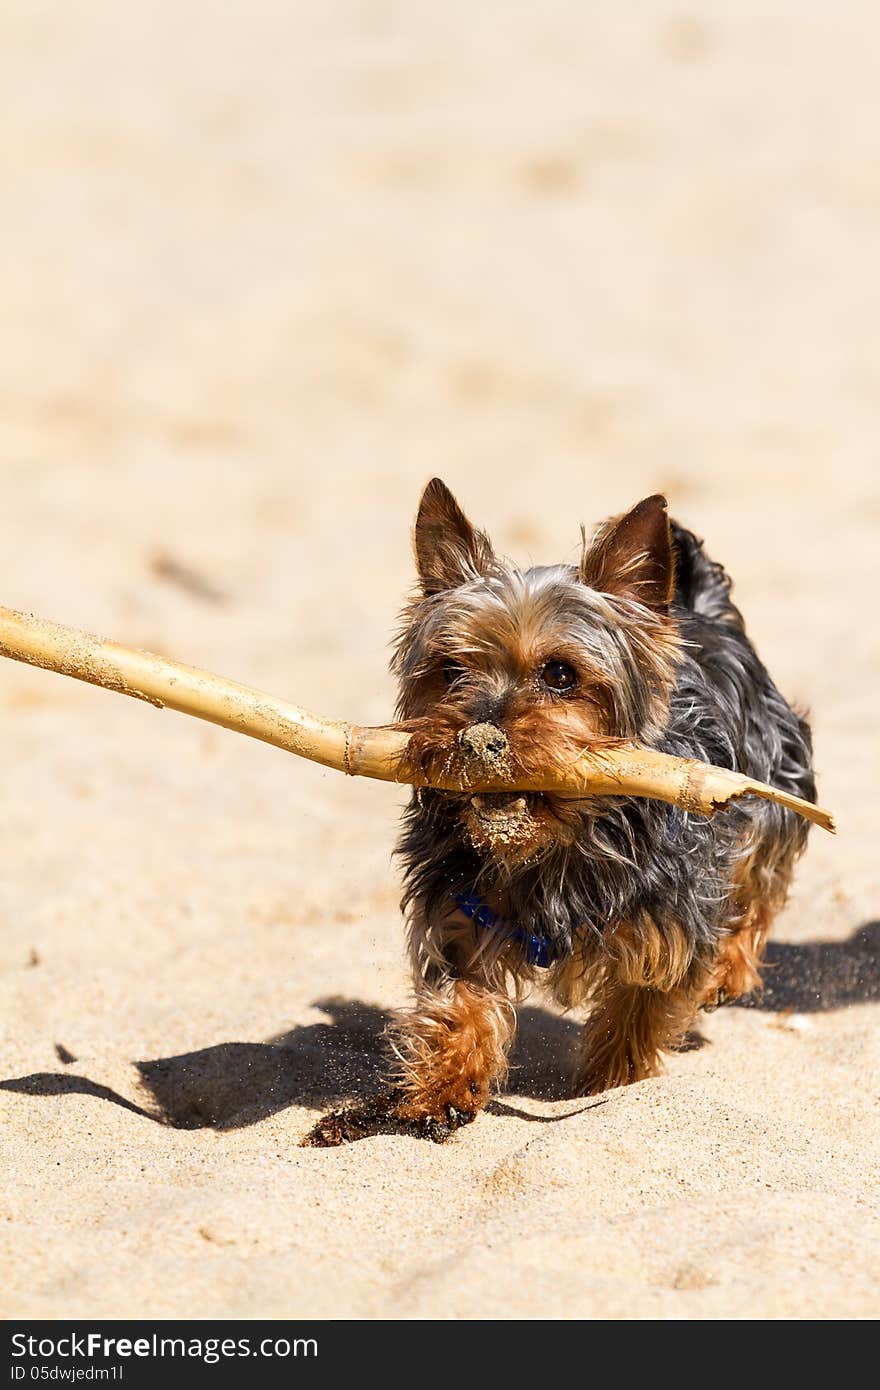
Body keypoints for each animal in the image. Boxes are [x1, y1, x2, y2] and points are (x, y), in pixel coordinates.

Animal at [307, 478, 811, 1139]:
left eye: (560, 674)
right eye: (450, 669)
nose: (477, 738)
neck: (552, 843)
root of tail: (703, 610)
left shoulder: (670, 920)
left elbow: (639, 1010)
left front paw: (611, 1084)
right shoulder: (459, 911)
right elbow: (461, 1001)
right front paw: (439, 1089)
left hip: (774, 785)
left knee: (759, 885)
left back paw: (728, 971)